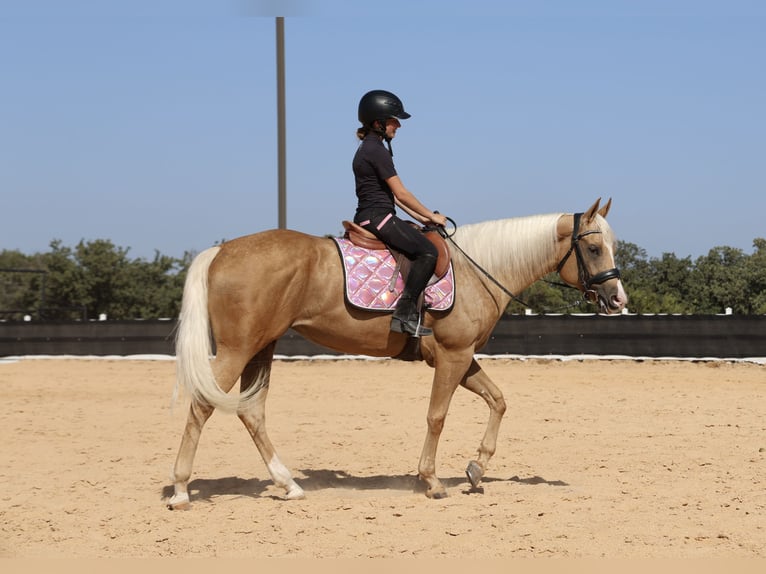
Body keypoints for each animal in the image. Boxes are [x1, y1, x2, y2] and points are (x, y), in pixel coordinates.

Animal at [167, 198, 627, 508]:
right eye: (593, 249)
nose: (618, 299)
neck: (477, 269)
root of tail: (222, 251)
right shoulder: (453, 356)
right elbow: (437, 416)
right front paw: (432, 481)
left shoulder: (462, 358)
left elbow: (498, 401)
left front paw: (476, 468)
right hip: (237, 349)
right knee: (202, 407)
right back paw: (181, 490)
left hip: (261, 349)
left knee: (251, 411)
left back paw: (289, 484)